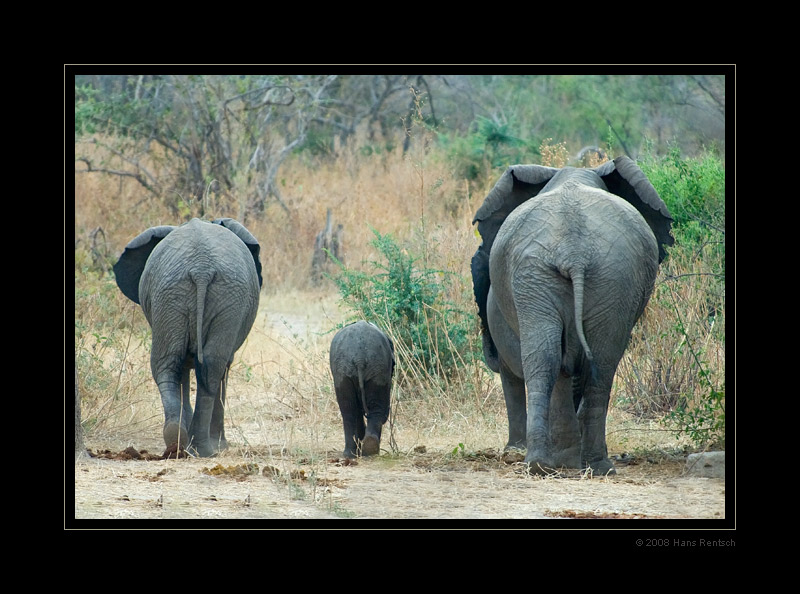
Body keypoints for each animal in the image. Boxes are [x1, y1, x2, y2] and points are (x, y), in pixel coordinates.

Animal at [112, 219, 260, 458]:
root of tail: (201, 268)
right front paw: (222, 446)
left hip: (175, 296)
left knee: (169, 365)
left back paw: (179, 441)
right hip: (213, 297)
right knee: (210, 368)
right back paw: (203, 449)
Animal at [330, 320, 396, 458]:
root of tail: (359, 358)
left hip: (349, 370)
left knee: (348, 409)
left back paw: (354, 453)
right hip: (376, 368)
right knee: (371, 408)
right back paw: (368, 450)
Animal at [472, 155, 672, 474]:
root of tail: (574, 252)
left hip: (585, 275)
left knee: (552, 360)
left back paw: (550, 463)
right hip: (581, 276)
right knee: (590, 362)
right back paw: (579, 465)